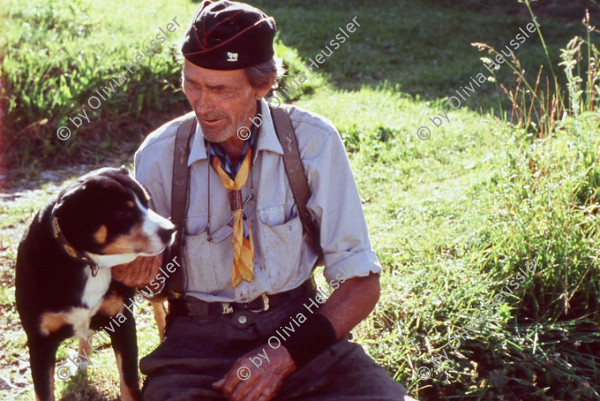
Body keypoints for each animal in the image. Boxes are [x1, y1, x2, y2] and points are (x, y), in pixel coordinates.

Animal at [16, 167, 175, 400]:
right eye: (123, 212)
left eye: (147, 202)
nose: (170, 229)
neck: (89, 263)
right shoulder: (40, 342)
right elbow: (44, 391)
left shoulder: (123, 322)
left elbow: (129, 384)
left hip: (152, 286)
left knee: (160, 308)